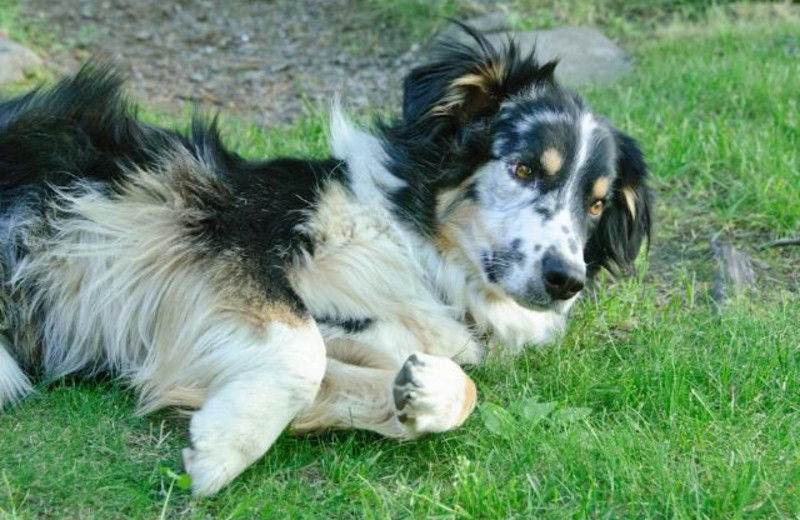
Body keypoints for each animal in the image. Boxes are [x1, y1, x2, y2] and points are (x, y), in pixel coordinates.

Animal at [0, 27, 648, 496]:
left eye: (595, 205)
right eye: (524, 168)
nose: (566, 281)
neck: (411, 247)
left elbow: (446, 390)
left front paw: (424, 393)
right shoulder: (234, 236)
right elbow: (301, 353)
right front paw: (224, 448)